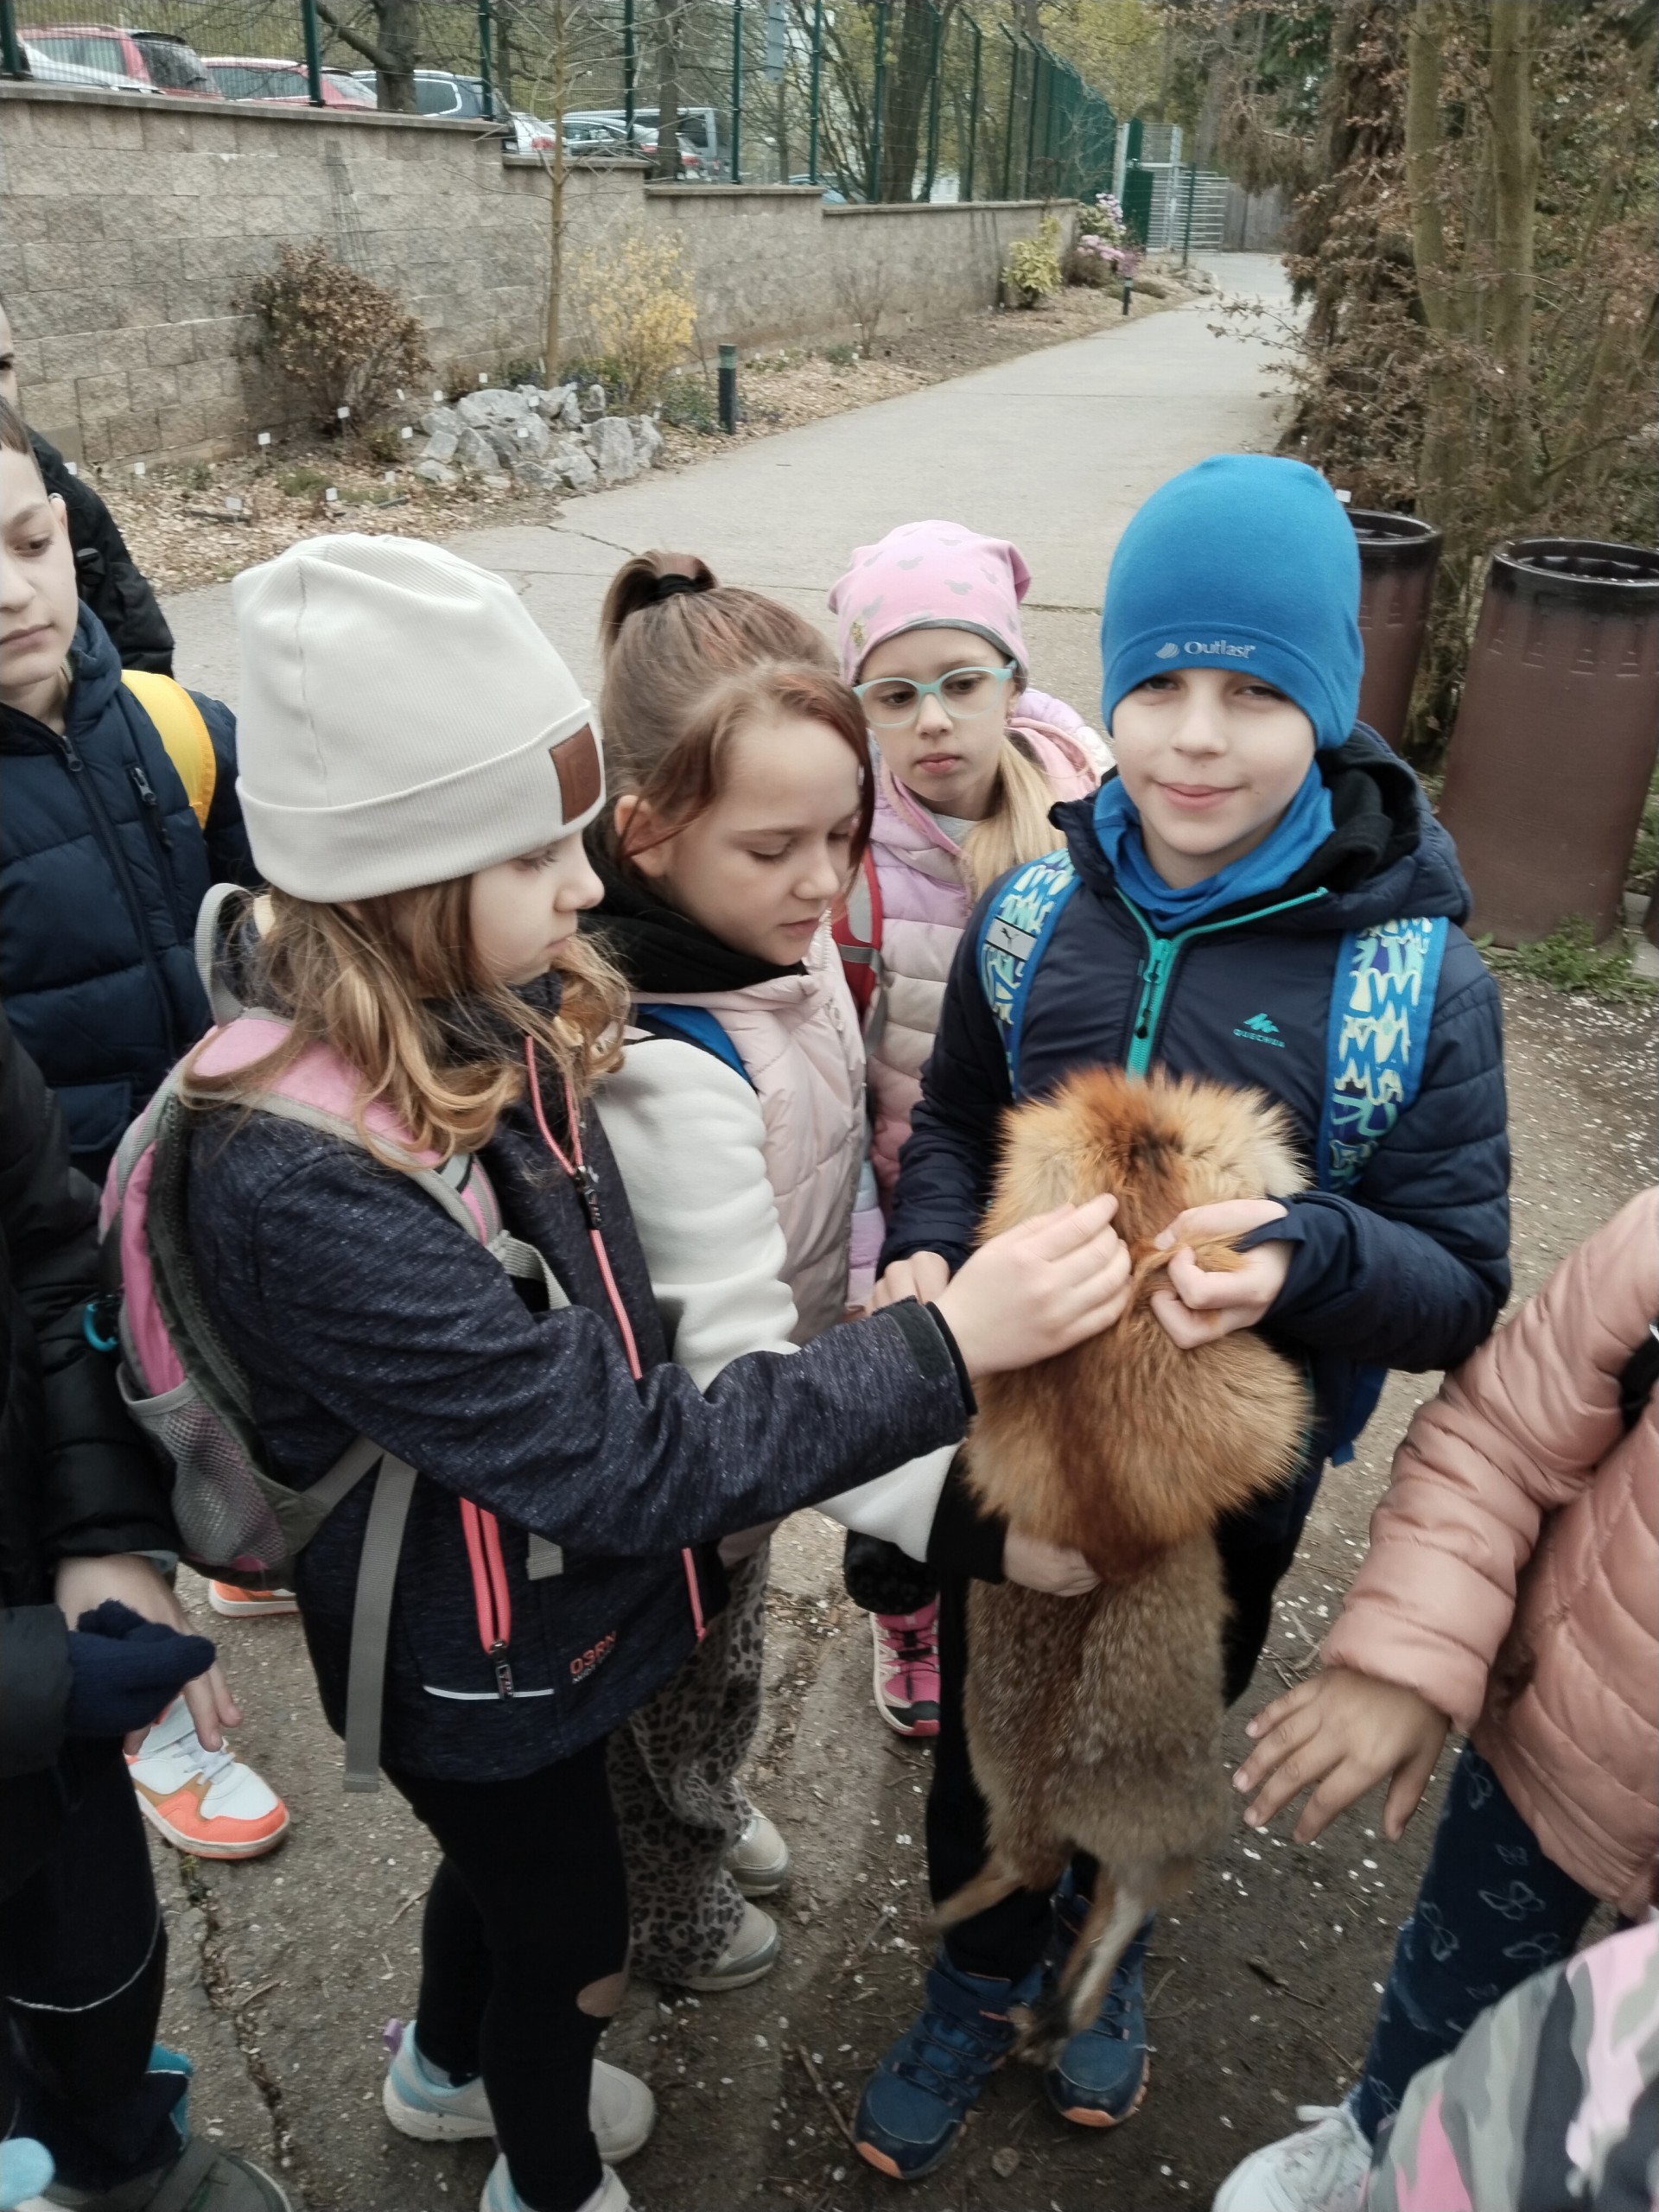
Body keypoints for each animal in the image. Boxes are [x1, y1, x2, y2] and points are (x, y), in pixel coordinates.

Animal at [934, 1065, 1312, 2061]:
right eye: (1173, 1139)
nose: (1121, 1081)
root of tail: (1043, 1805)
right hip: (1171, 1825)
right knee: (1124, 1900)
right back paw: (1067, 2008)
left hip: (1003, 1784)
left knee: (1048, 1881)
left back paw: (1030, 1999)